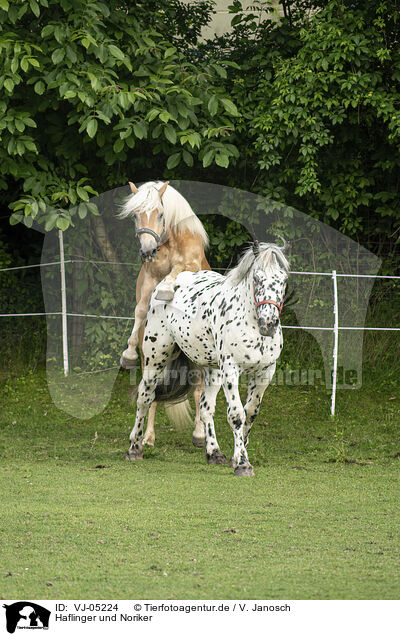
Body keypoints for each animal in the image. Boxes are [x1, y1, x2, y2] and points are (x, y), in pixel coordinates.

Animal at [119, 179, 209, 448]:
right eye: (135, 215)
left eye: (160, 214)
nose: (148, 251)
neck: (170, 243)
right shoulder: (149, 279)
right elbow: (140, 309)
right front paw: (127, 354)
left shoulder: (188, 267)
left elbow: (175, 273)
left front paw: (168, 289)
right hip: (154, 358)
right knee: (151, 392)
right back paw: (146, 437)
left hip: (198, 359)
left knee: (199, 391)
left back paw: (199, 434)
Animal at [126, 243, 290, 476]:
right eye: (257, 279)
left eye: (283, 280)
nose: (268, 323)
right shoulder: (231, 369)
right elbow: (236, 415)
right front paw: (243, 464)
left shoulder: (265, 372)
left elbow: (250, 413)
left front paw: (236, 457)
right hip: (155, 358)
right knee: (145, 397)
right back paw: (135, 447)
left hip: (212, 370)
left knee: (205, 406)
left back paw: (213, 452)